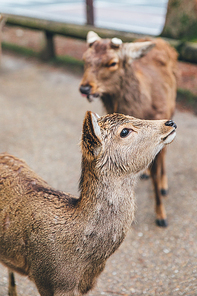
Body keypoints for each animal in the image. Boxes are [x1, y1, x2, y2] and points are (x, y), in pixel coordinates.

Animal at [79, 31, 178, 227]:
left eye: (112, 63)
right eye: (85, 59)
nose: (85, 88)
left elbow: (157, 171)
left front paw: (161, 215)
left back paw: (164, 185)